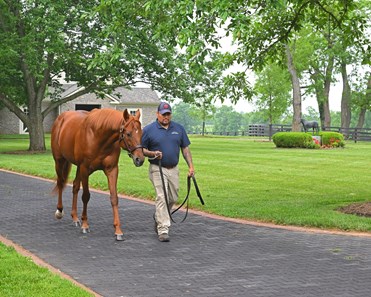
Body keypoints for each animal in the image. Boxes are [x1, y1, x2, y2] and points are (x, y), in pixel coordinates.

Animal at [51, 107, 145, 239]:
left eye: (141, 133)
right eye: (128, 134)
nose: (139, 159)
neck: (98, 136)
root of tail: (60, 118)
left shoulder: (112, 170)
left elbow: (114, 198)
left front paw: (118, 230)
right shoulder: (85, 168)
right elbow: (86, 196)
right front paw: (85, 225)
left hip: (78, 168)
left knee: (75, 186)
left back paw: (75, 217)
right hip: (59, 161)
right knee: (60, 182)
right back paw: (60, 211)